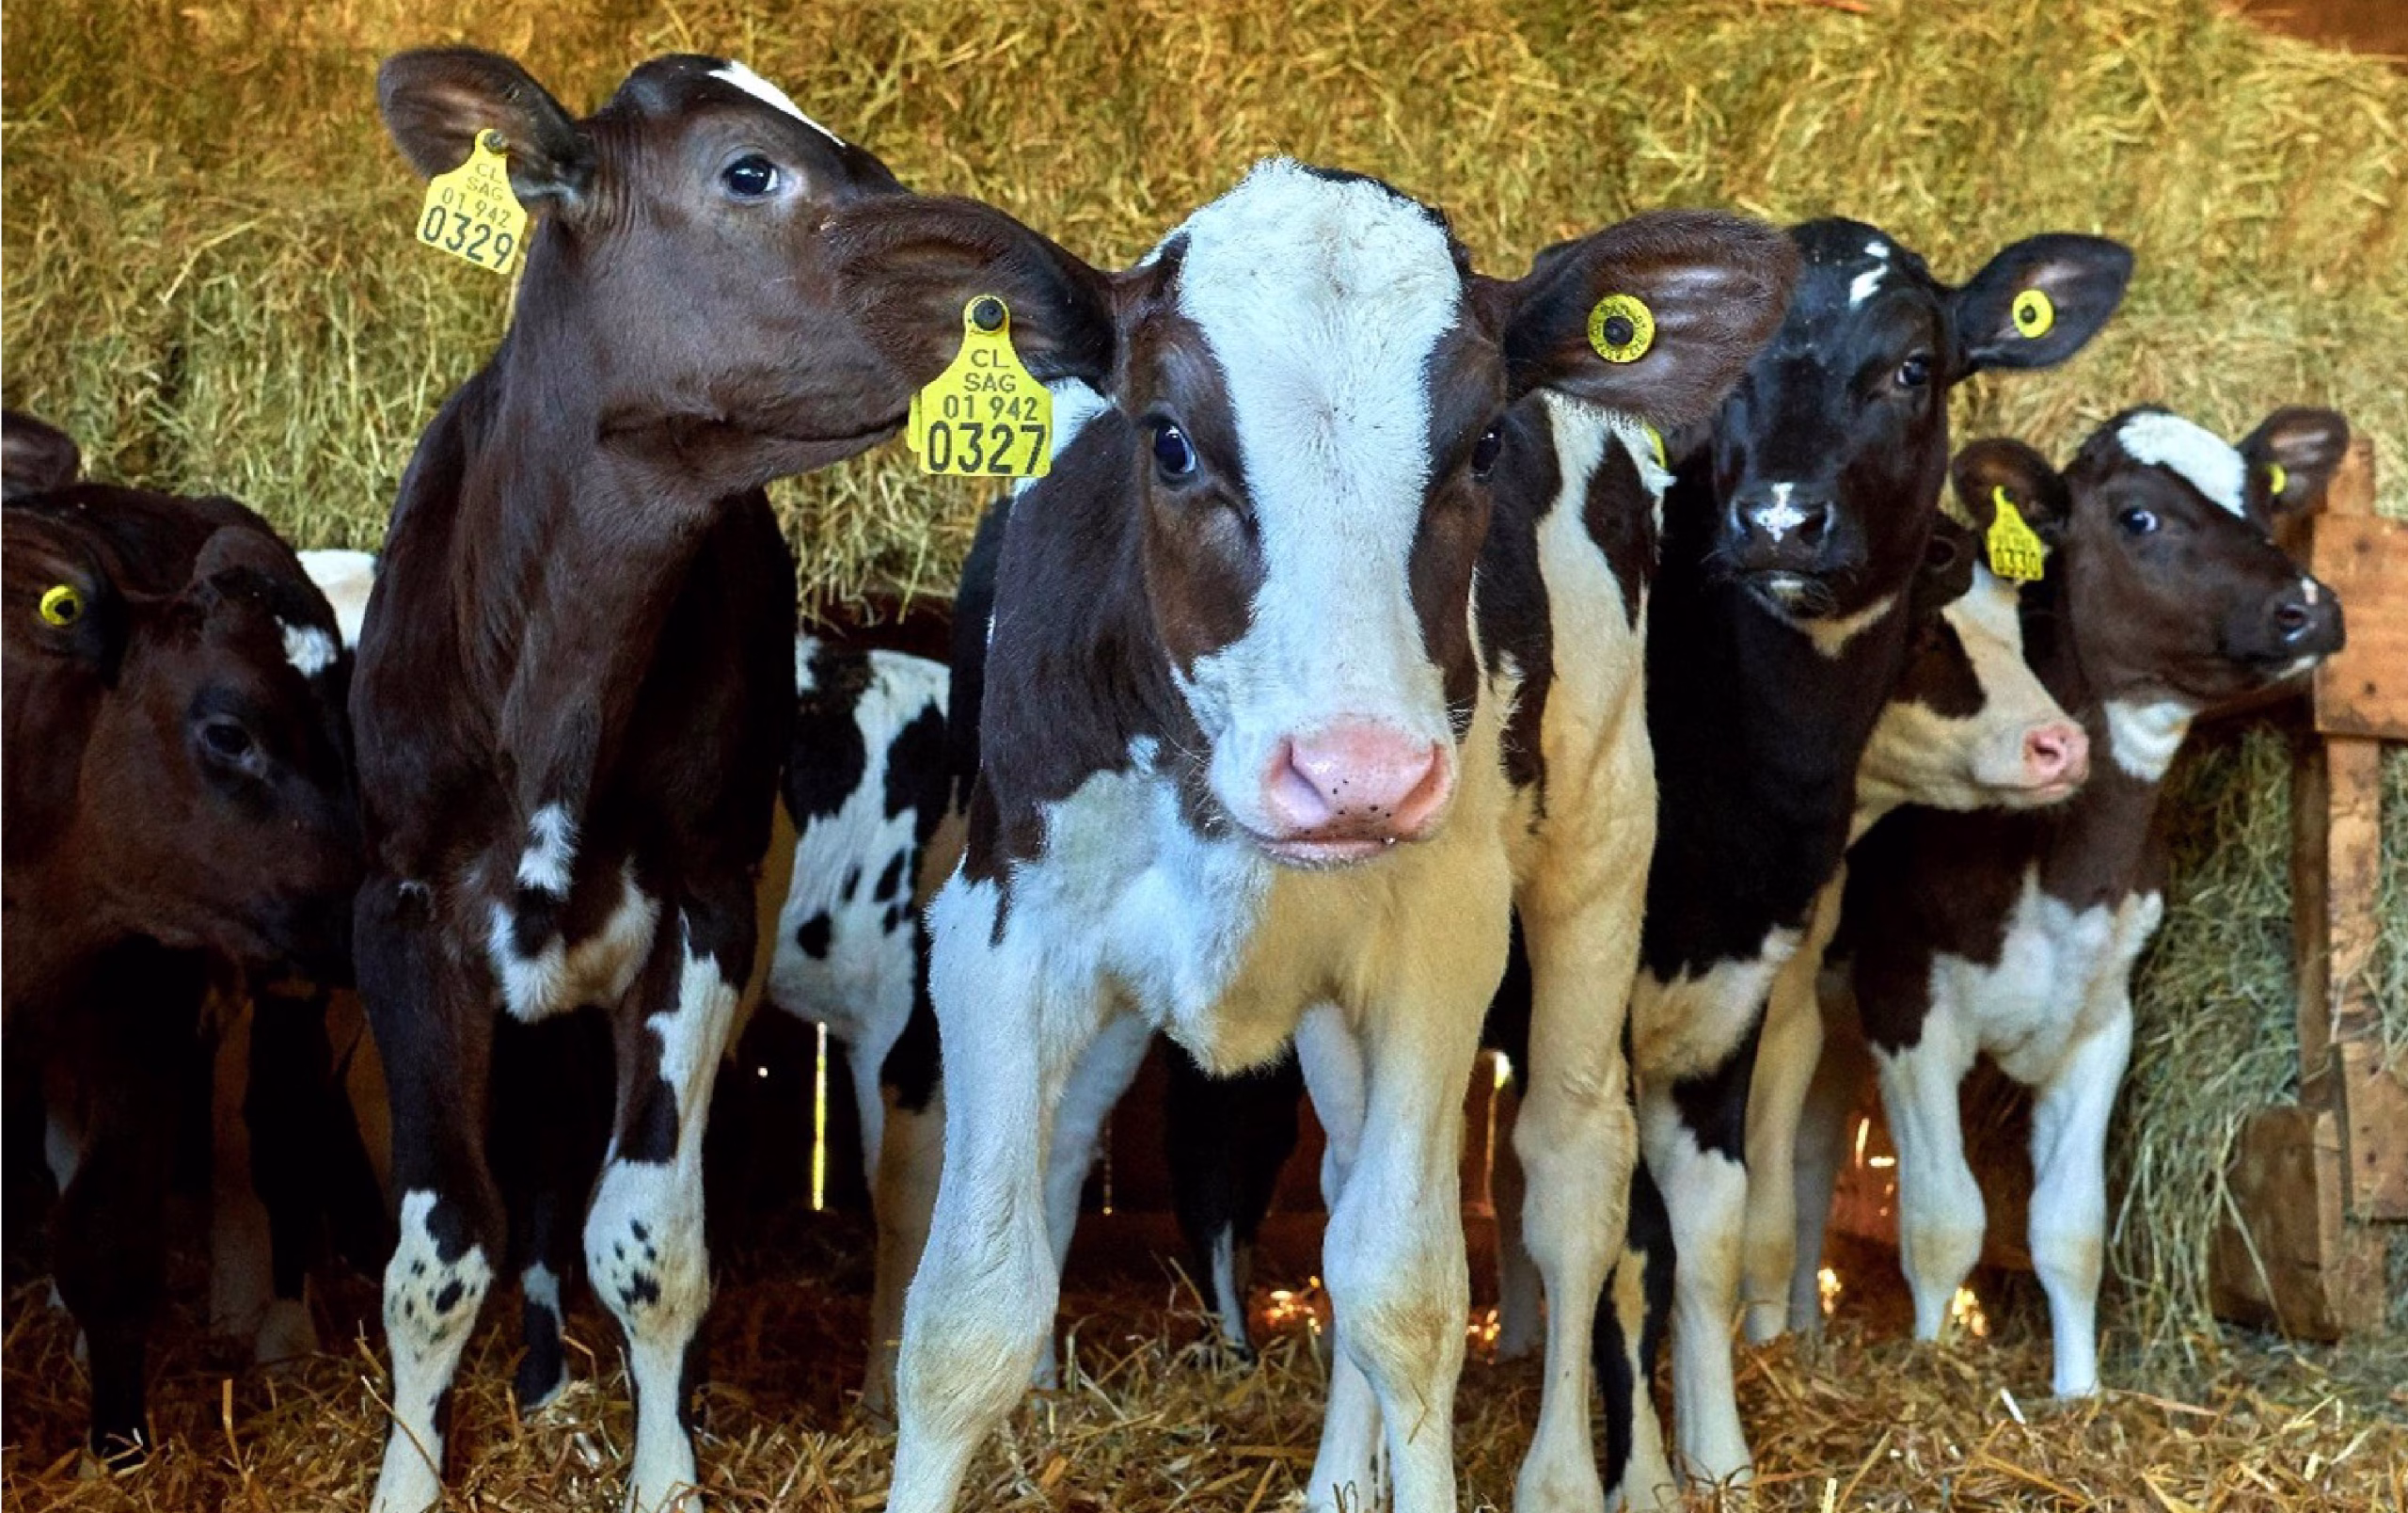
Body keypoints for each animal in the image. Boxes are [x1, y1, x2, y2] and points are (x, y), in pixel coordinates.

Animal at [353, 47, 1000, 1513]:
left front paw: (668, 1473)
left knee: (890, 1178)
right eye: (748, 170)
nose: (993, 277)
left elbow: (648, 1237)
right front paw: (414, 1471)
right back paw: (544, 1381)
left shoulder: (701, 913)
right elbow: (440, 1250)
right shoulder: (405, 913)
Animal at [825, 160, 1796, 1513]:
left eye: (1483, 444)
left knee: (1574, 1168)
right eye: (1168, 440)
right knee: (1338, 1183)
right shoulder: (999, 931)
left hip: (1602, 835)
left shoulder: (1443, 942)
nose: (1358, 776)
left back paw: (1565, 1471)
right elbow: (968, 1316)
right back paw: (1341, 1475)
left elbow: (1409, 1295)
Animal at [1630, 219, 2130, 1489]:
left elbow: (1726, 1222)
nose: (1777, 522)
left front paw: (1732, 1422)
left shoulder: (1762, 995)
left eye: (1913, 367)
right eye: (1724, 358)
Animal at [1795, 408, 2347, 1399]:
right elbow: (1943, 1220)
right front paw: (1932, 1373)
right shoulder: (1907, 1001)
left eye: (2259, 501)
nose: (2312, 607)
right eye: (2137, 517)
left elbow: (2070, 1229)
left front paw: (2076, 1394)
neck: (2062, 870)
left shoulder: (2101, 1018)